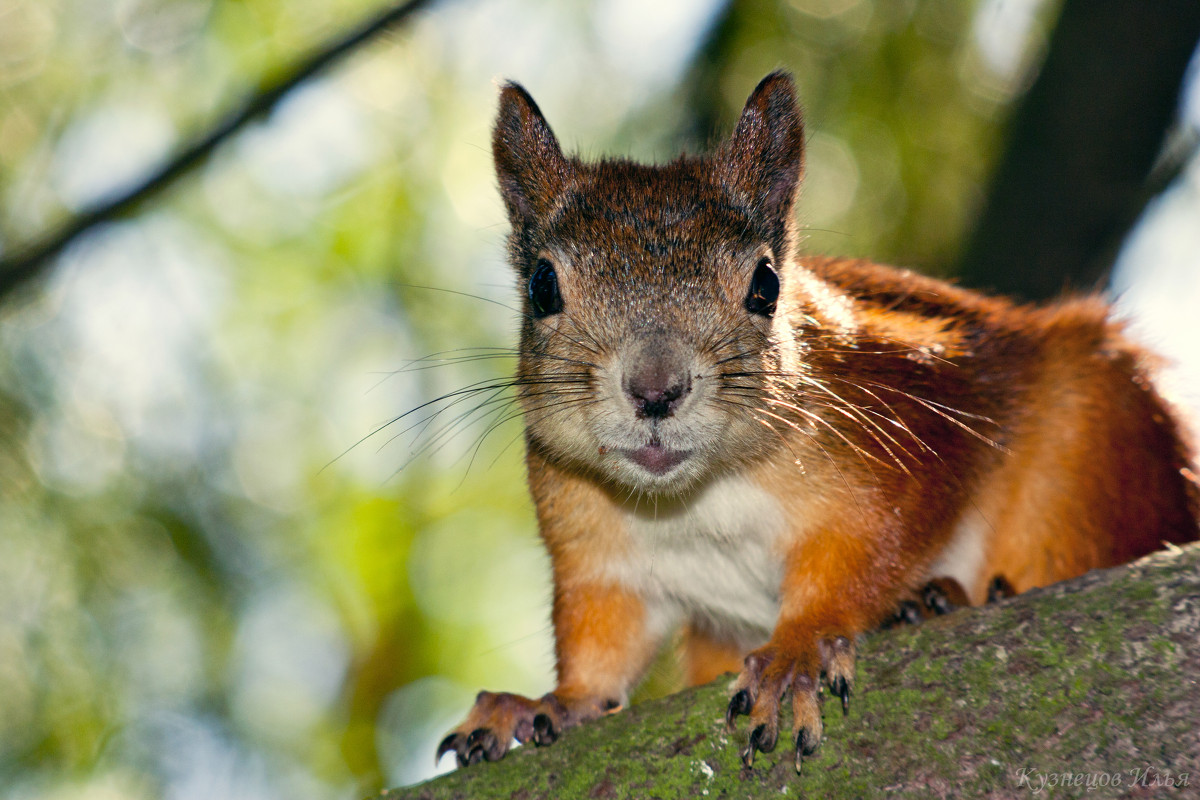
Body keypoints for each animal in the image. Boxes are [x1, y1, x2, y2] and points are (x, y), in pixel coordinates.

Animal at [436, 73, 1200, 777]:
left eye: (766, 285)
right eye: (542, 286)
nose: (655, 390)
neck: (697, 498)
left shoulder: (905, 434)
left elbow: (869, 553)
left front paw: (798, 650)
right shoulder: (597, 553)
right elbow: (601, 645)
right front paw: (549, 704)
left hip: (1092, 452)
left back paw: (947, 597)